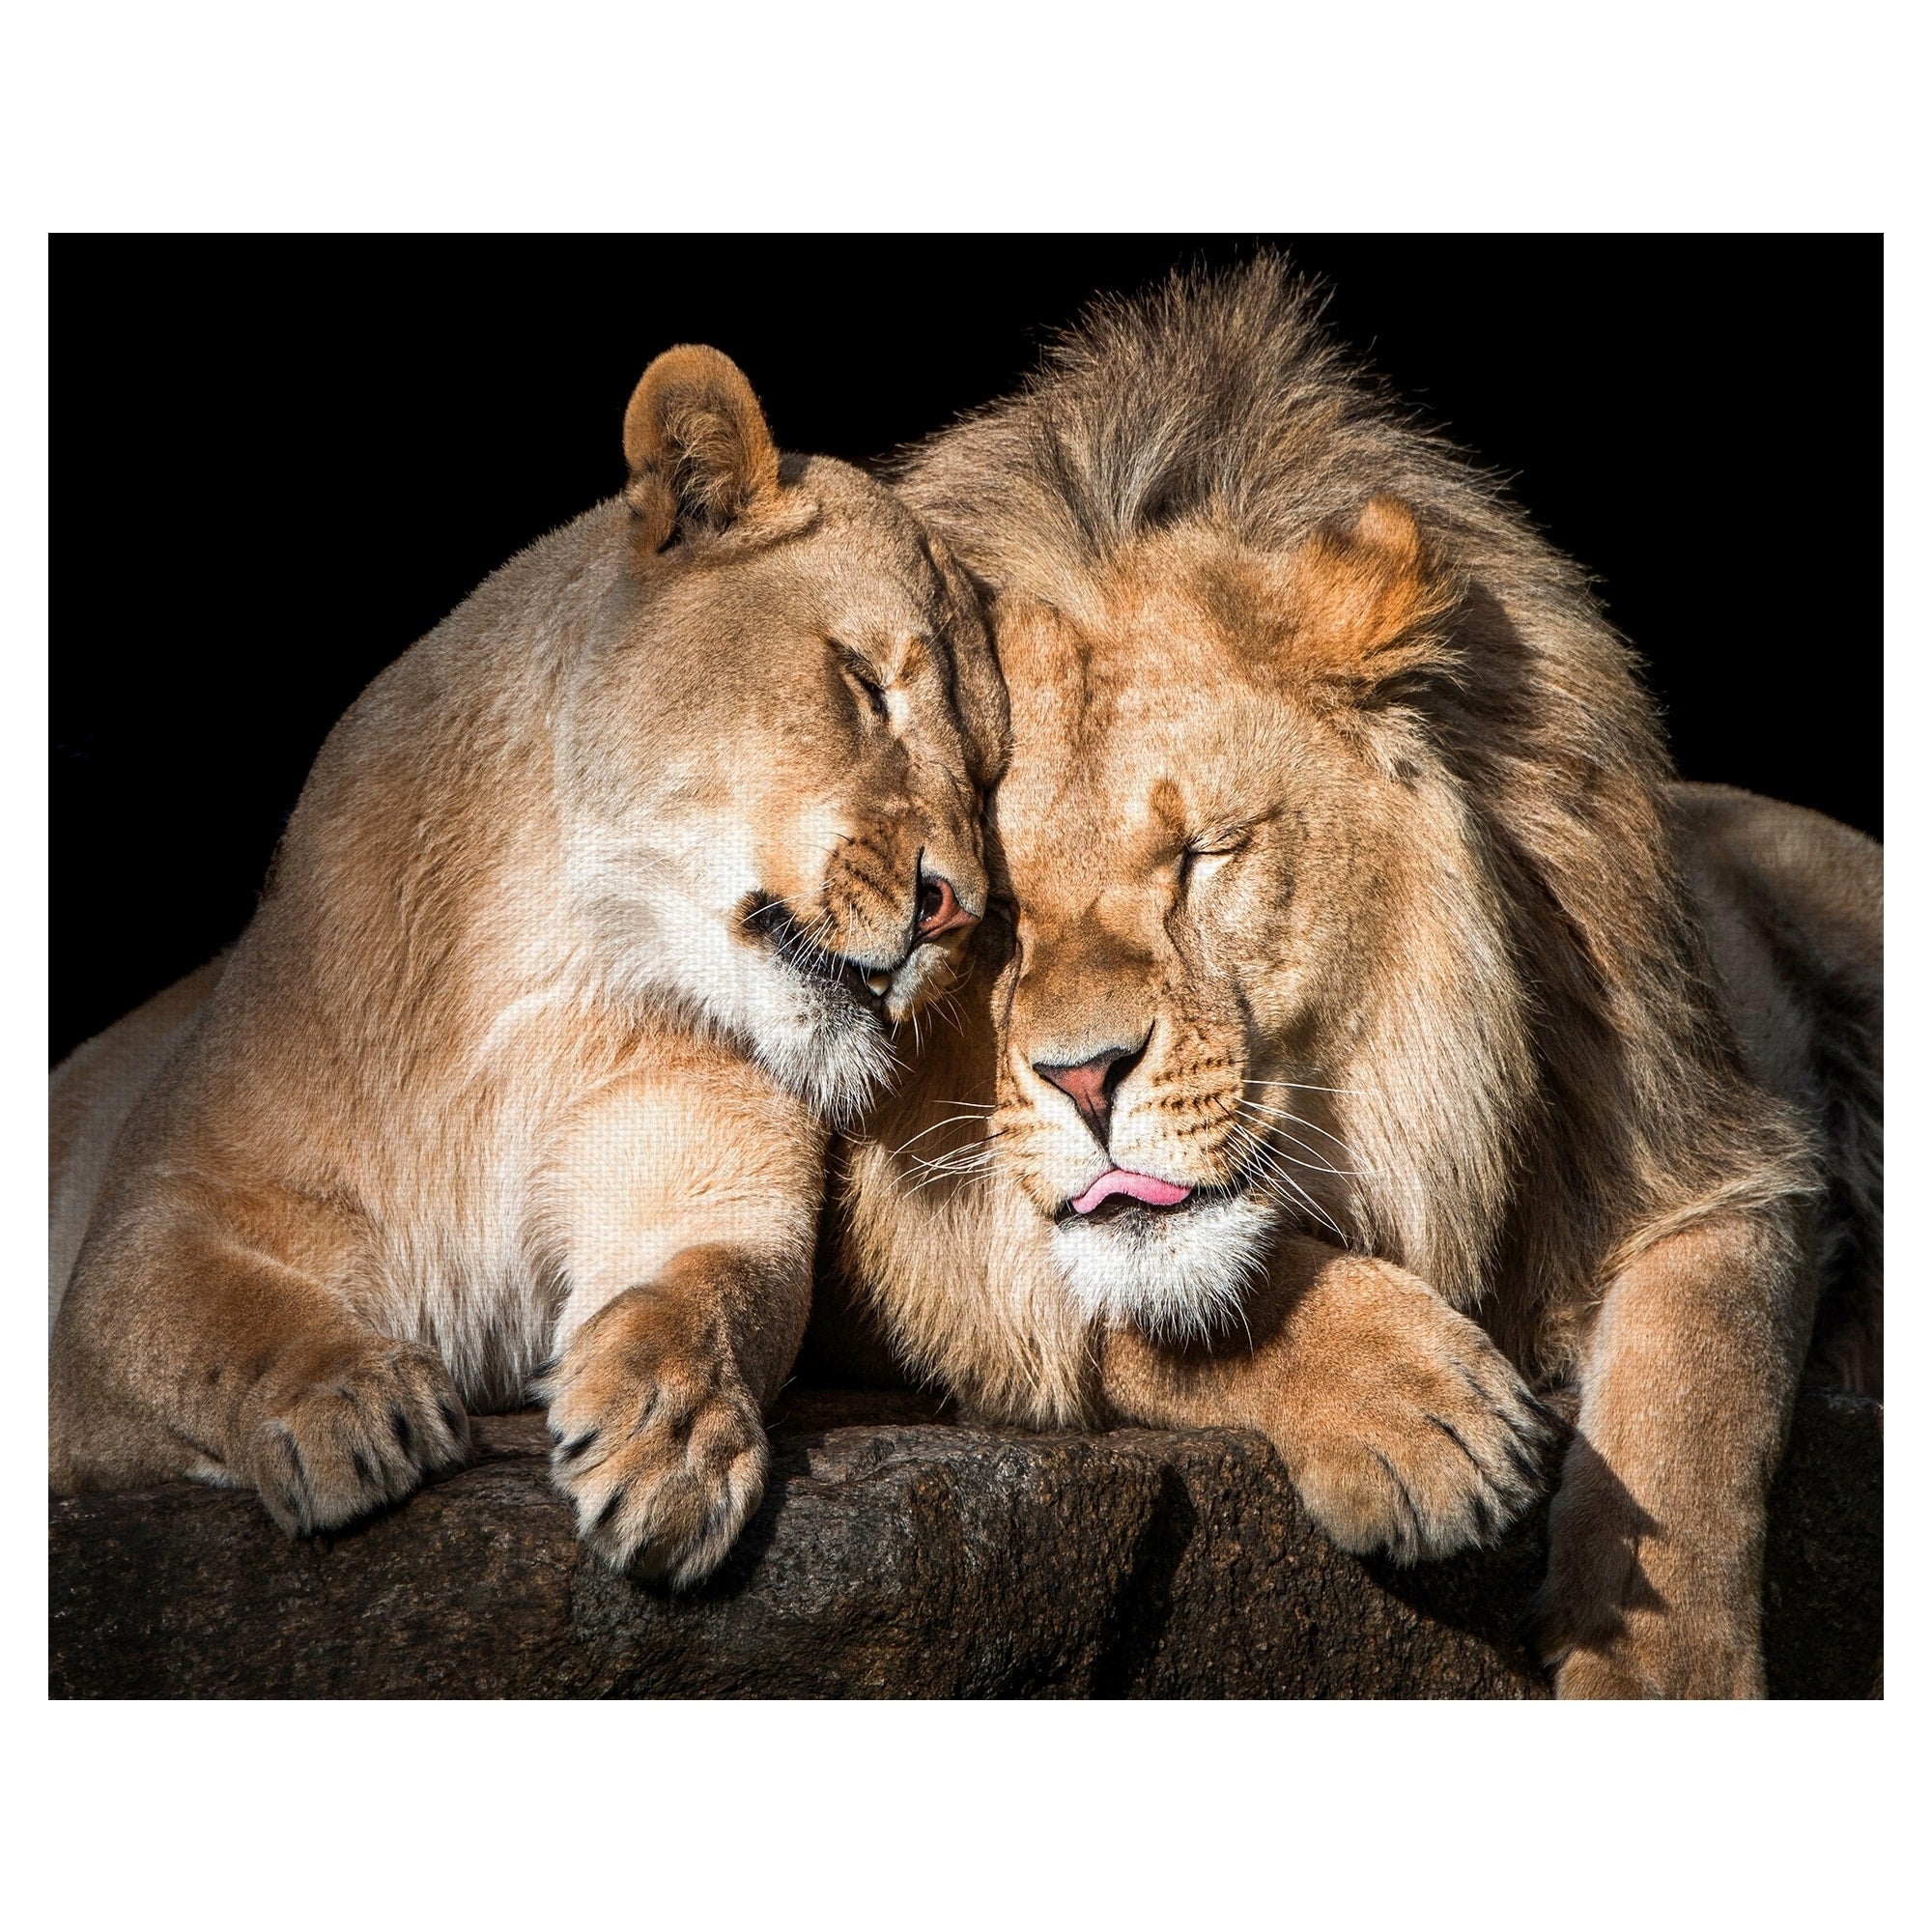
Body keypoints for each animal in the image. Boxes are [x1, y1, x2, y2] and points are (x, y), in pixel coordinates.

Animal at [48, 343, 1005, 1588]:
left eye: (988, 776)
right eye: (861, 681)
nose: (957, 909)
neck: (548, 970)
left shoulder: (712, 1186)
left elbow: (707, 1296)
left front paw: (671, 1435)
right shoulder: (151, 1225)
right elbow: (210, 1313)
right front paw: (345, 1403)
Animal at [828, 262, 1881, 1697]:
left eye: (1205, 853)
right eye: (983, 914)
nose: (1083, 1078)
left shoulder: (1711, 1150)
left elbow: (1692, 1400)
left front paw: (1663, 1673)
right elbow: (1122, 1298)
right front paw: (1411, 1411)